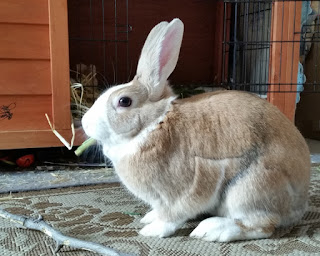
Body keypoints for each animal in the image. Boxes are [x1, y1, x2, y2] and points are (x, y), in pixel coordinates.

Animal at [81, 18, 312, 242]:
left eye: (124, 101)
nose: (84, 123)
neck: (154, 124)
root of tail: (299, 206)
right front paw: (149, 218)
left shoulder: (181, 191)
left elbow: (173, 215)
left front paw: (151, 230)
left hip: (248, 189)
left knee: (262, 225)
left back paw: (212, 230)